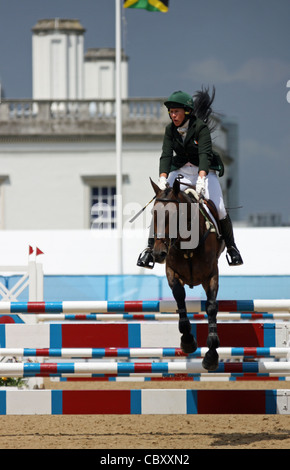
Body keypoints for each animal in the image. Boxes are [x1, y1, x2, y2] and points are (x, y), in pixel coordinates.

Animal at [151, 177, 225, 370]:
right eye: (153, 215)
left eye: (174, 216)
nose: (158, 253)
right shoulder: (171, 271)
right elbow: (179, 297)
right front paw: (188, 341)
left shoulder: (211, 274)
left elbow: (211, 307)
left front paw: (211, 354)